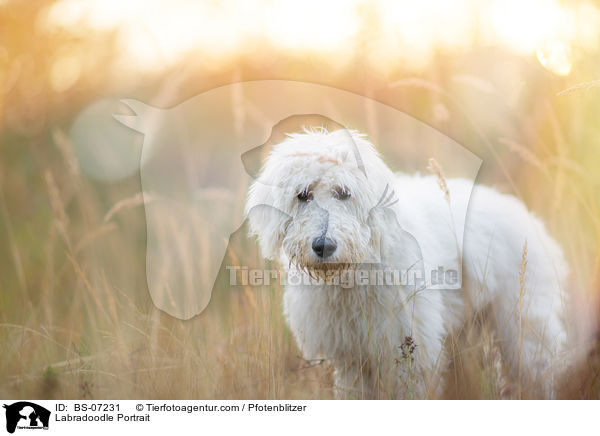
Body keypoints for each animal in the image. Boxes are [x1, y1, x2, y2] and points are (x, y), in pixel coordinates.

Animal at [244, 127, 568, 398]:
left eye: (344, 193)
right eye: (303, 195)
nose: (324, 245)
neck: (355, 274)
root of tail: (525, 215)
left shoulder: (412, 352)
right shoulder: (351, 359)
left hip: (525, 326)